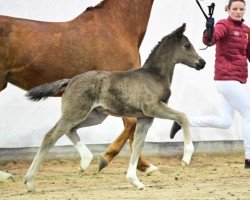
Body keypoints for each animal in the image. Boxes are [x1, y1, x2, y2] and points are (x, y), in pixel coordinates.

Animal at [24, 23, 205, 191]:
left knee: (69, 130)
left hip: (94, 116)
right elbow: (182, 116)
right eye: (187, 45)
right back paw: (30, 182)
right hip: (76, 112)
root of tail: (70, 81)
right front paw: (186, 158)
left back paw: (85, 162)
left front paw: (135, 181)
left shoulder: (145, 118)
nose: (202, 63)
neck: (154, 76)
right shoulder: (152, 108)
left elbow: (138, 144)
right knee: (50, 136)